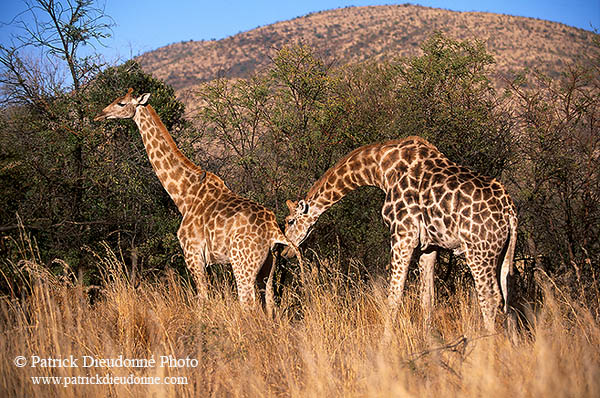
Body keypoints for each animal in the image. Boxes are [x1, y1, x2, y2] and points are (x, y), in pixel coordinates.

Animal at [95, 89, 300, 314]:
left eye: (121, 103)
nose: (100, 115)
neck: (184, 194)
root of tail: (274, 230)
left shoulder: (192, 253)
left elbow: (202, 300)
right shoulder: (206, 260)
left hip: (242, 263)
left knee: (248, 304)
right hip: (269, 265)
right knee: (270, 304)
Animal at [284, 137, 516, 332]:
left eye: (290, 221)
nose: (285, 251)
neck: (380, 169)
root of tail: (509, 212)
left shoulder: (403, 235)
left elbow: (394, 298)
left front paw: (385, 346)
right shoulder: (429, 246)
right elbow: (427, 299)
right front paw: (429, 340)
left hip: (478, 251)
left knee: (490, 296)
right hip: (502, 253)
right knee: (507, 298)